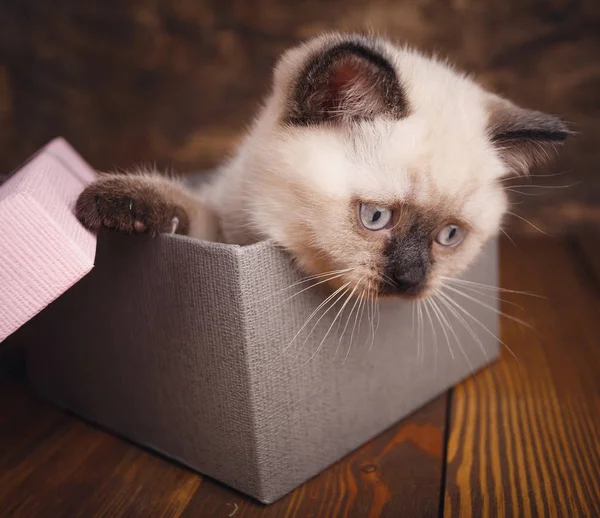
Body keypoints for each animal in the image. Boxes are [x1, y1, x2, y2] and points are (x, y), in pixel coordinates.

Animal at [76, 32, 572, 300]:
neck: (253, 236)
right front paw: (115, 204)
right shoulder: (219, 228)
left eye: (450, 236)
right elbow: (186, 208)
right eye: (376, 217)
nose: (410, 280)